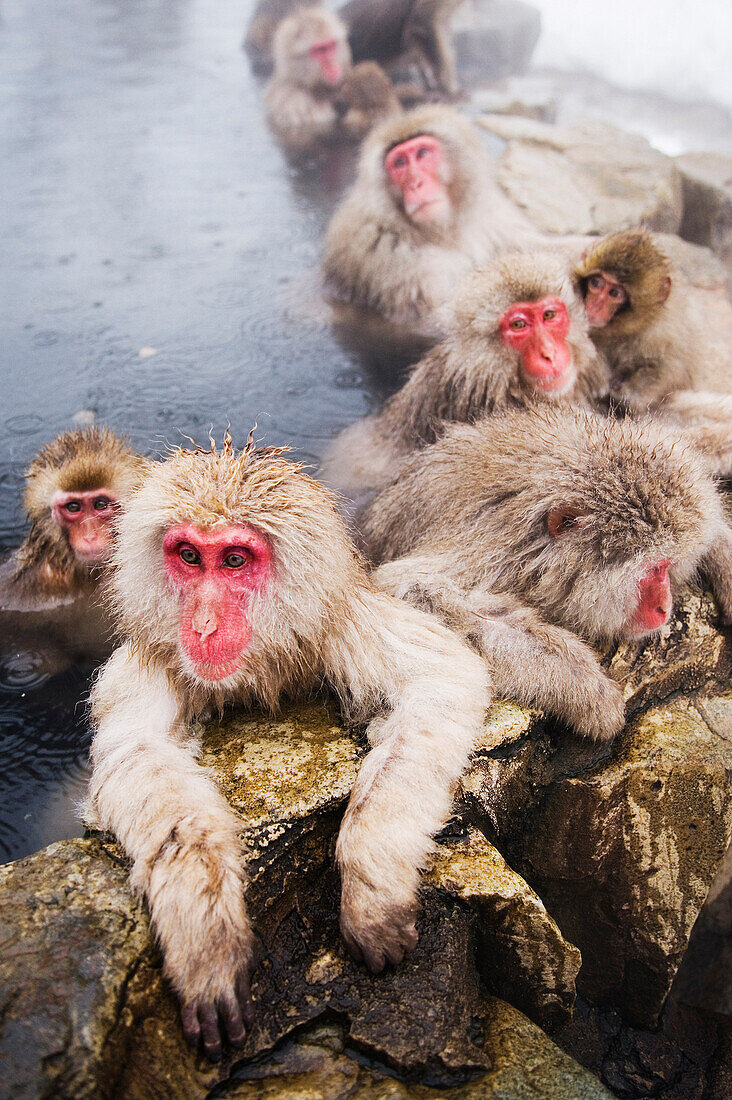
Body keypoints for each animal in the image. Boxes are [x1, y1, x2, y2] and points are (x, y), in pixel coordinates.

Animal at [85, 433, 488, 1060]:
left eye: (234, 559)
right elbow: (137, 753)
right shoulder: (156, 652)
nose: (202, 624)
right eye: (189, 556)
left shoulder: (338, 619)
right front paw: (207, 940)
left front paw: (371, 886)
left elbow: (444, 680)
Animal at [321, 104, 537, 327]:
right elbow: (432, 320)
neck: (444, 234)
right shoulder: (386, 253)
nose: (416, 183)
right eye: (400, 163)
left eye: (422, 153)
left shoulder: (494, 216)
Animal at [358, 409, 730, 743]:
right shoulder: (490, 549)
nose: (665, 608)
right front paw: (584, 686)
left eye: (667, 566)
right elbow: (410, 590)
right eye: (653, 570)